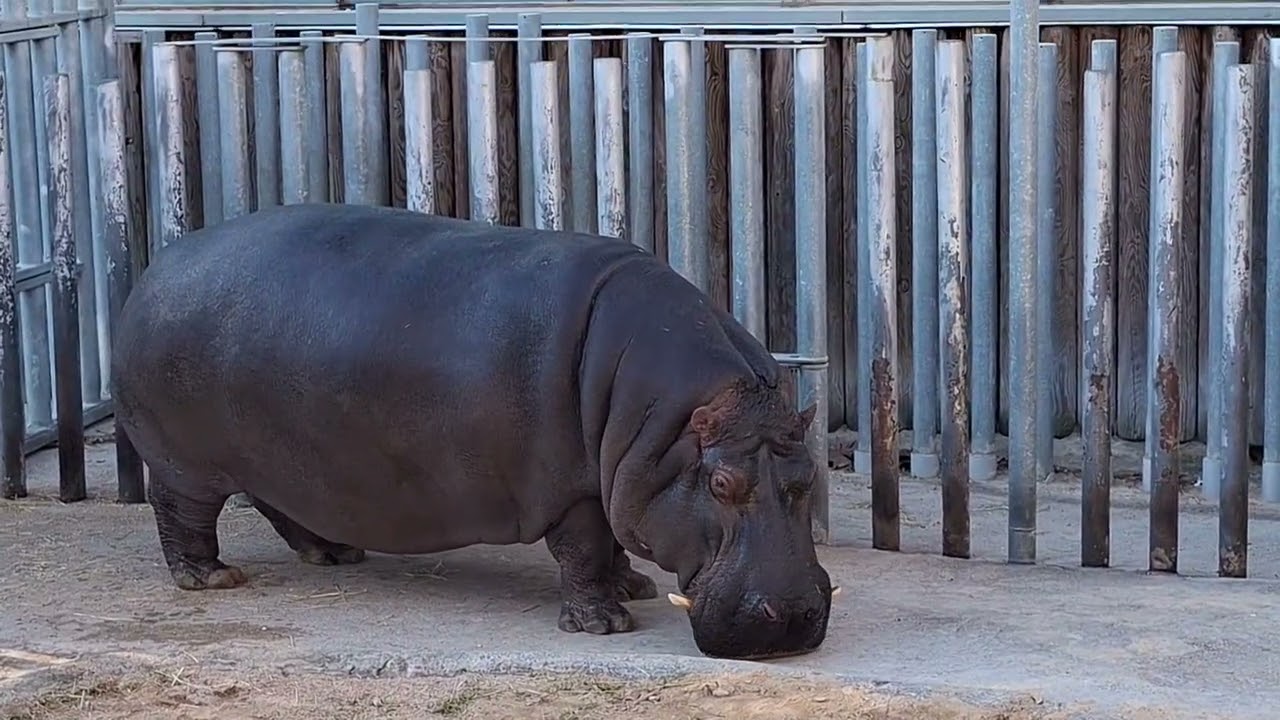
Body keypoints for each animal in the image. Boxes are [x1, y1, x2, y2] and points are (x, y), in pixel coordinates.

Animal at [112, 202, 836, 660]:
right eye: (721, 483)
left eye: (810, 476)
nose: (795, 618)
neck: (670, 424)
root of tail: (157, 267)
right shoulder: (571, 489)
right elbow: (583, 548)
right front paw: (604, 622)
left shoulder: (612, 474)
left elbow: (610, 542)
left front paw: (630, 585)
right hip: (186, 462)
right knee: (181, 514)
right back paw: (212, 579)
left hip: (279, 457)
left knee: (282, 504)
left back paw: (335, 553)